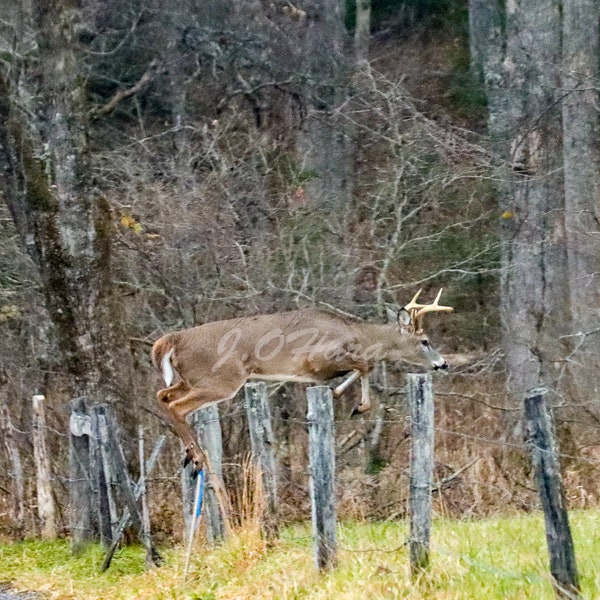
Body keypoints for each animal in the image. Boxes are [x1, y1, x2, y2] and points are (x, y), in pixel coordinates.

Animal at [152, 288, 452, 468]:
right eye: (425, 341)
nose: (443, 363)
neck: (357, 335)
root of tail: (172, 340)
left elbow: (359, 368)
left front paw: (339, 395)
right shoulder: (316, 358)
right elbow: (365, 365)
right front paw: (360, 405)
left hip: (192, 380)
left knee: (162, 395)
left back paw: (190, 454)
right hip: (221, 379)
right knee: (176, 405)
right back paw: (197, 455)